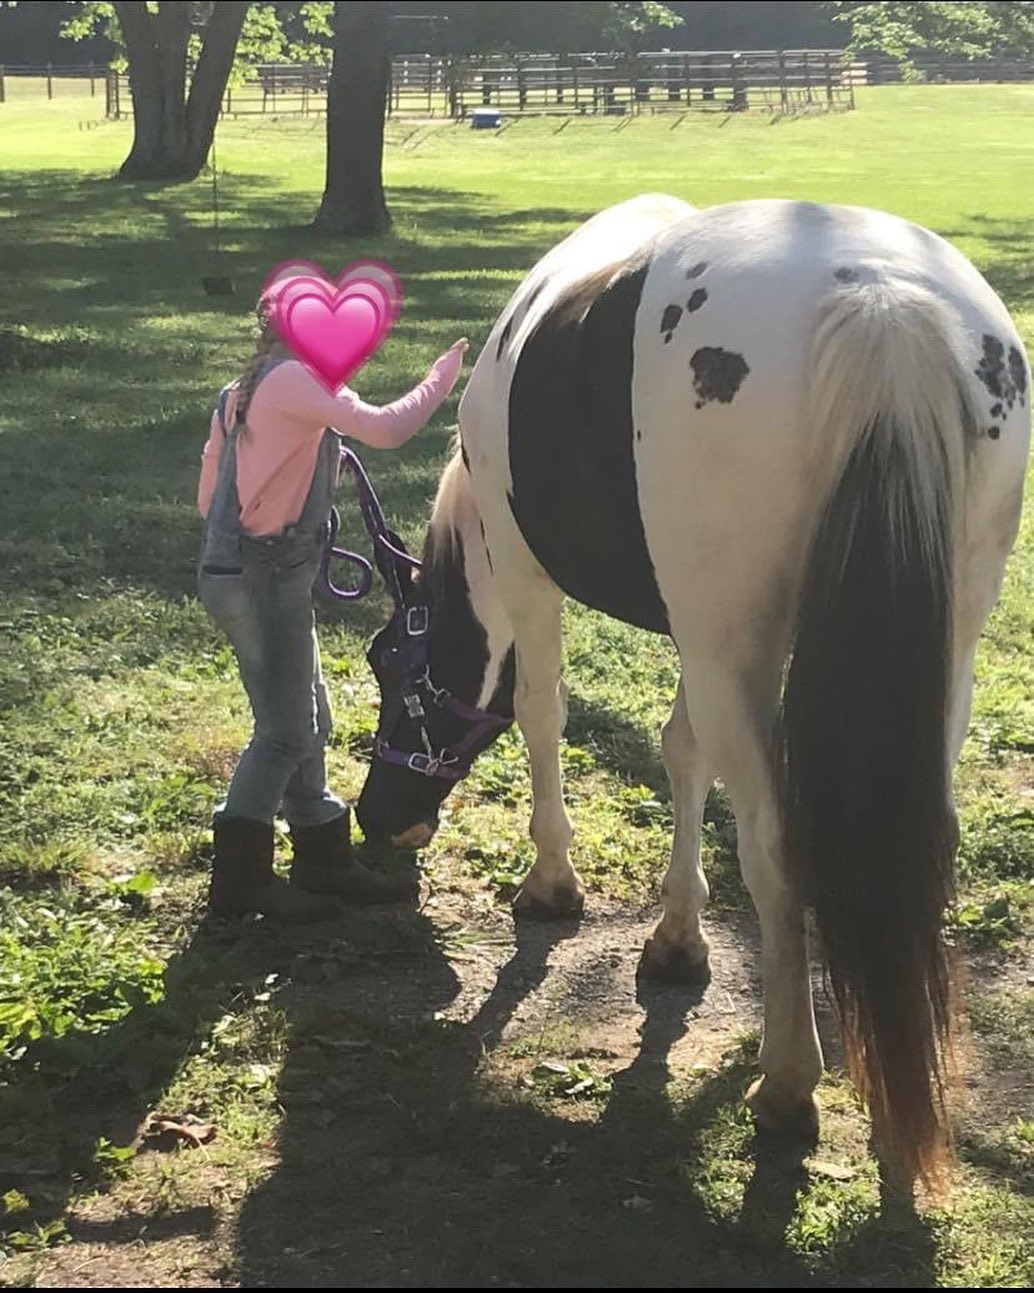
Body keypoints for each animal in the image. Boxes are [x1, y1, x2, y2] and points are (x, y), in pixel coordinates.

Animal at [355, 194, 1030, 1187]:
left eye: (386, 663)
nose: (378, 817)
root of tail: (879, 301)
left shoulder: (528, 572)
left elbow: (544, 714)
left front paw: (552, 882)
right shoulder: (696, 633)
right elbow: (682, 750)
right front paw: (676, 935)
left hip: (733, 643)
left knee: (778, 845)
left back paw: (787, 1082)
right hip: (940, 648)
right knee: (918, 838)